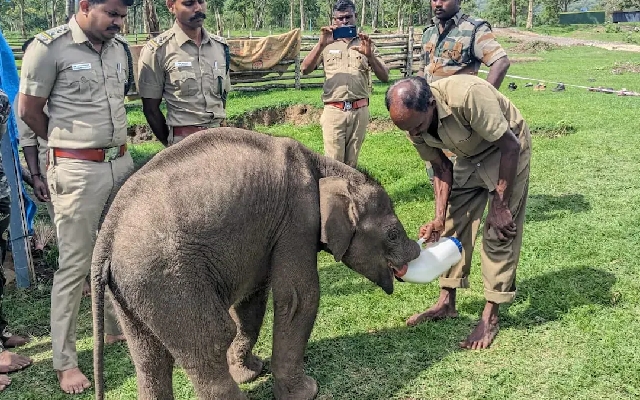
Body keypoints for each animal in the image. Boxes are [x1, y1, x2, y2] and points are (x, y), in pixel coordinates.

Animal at [91, 127, 421, 400]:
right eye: (392, 234)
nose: (417, 251)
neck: (327, 168)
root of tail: (106, 238)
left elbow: (251, 302)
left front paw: (251, 371)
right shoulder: (298, 217)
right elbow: (298, 298)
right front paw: (307, 392)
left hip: (132, 290)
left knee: (148, 355)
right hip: (169, 279)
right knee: (210, 340)